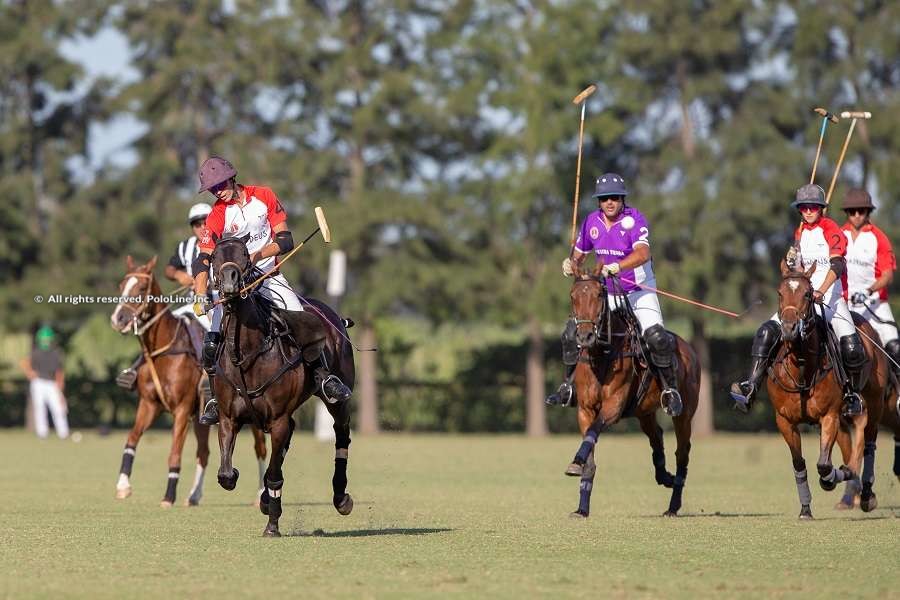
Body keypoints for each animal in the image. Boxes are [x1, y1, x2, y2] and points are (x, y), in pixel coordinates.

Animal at [109, 255, 268, 508]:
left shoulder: (182, 409)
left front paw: (168, 495)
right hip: (203, 416)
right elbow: (131, 439)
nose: (118, 319)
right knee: (204, 452)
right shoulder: (149, 404)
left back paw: (260, 494)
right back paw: (194, 495)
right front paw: (123, 486)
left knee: (260, 448)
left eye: (142, 288)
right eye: (121, 285)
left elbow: (174, 453)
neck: (164, 352)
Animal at [209, 237, 354, 536]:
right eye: (215, 256)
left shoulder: (277, 419)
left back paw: (341, 497)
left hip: (338, 397)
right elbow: (226, 475)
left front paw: (272, 524)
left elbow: (275, 476)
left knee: (341, 435)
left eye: (245, 255)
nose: (229, 282)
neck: (246, 353)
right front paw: (254, 491)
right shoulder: (228, 418)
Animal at [564, 264, 704, 516]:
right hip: (643, 411)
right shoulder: (585, 409)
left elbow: (594, 431)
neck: (602, 353)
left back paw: (673, 504)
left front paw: (575, 462)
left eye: (598, 295)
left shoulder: (613, 406)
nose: (585, 336)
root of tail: (688, 348)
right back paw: (664, 477)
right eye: (573, 296)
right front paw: (581, 508)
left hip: (684, 414)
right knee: (656, 435)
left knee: (682, 452)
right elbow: (590, 455)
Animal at [768, 260, 884, 516]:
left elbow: (823, 464)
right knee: (851, 445)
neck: (802, 368)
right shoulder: (784, 420)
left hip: (871, 403)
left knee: (868, 442)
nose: (789, 328)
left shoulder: (829, 415)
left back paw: (865, 494)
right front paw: (805, 509)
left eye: (808, 294)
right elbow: (799, 462)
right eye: (780, 293)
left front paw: (833, 478)